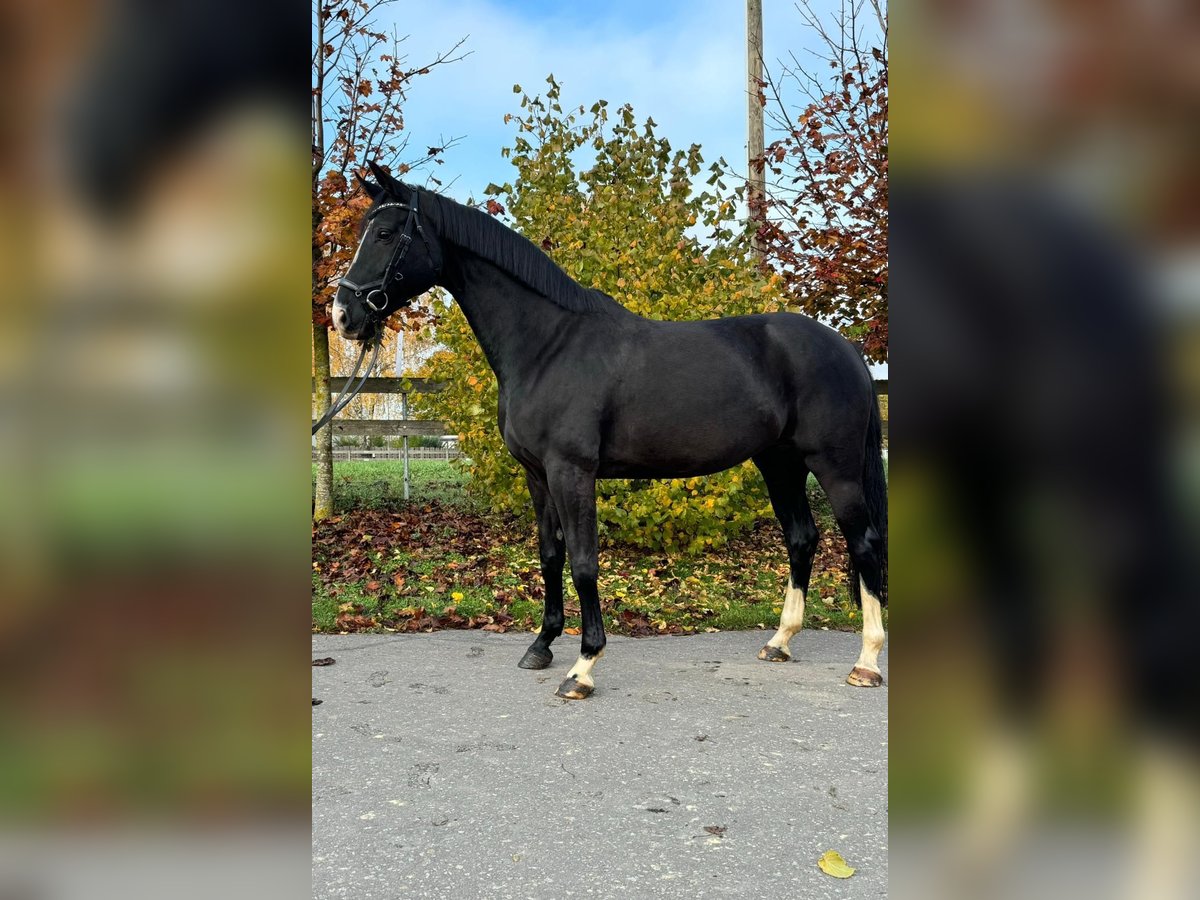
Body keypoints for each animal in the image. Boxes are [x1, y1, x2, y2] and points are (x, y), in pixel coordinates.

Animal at [333, 165, 888, 705]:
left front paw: (583, 667)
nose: (343, 316)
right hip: (780, 462)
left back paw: (866, 663)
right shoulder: (537, 474)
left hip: (833, 466)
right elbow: (550, 554)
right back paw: (780, 642)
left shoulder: (571, 472)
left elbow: (583, 562)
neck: (548, 345)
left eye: (385, 233)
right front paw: (541, 645)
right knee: (802, 538)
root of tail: (846, 348)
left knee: (862, 542)